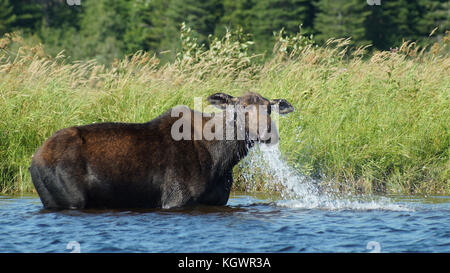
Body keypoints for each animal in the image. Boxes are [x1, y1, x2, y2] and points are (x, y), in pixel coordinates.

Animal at [29, 91, 296, 208]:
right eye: (241, 106)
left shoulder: (217, 201)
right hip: (72, 199)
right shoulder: (176, 200)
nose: (268, 133)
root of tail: (33, 161)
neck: (222, 159)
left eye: (269, 108)